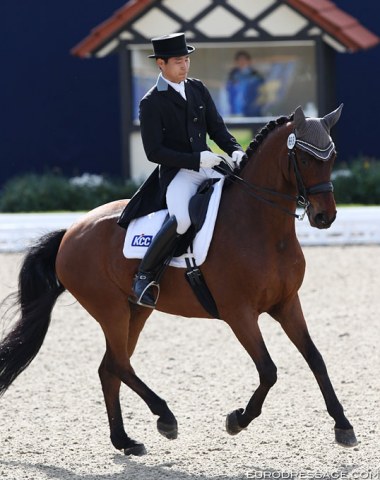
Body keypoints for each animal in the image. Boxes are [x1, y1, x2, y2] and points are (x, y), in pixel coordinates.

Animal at [0, 105, 358, 454]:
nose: (324, 217)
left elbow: (315, 358)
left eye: (332, 158)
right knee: (119, 364)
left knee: (110, 367)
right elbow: (268, 371)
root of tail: (70, 232)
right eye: (306, 159)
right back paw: (165, 417)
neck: (263, 227)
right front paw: (237, 420)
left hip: (136, 310)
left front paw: (343, 425)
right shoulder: (239, 314)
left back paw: (125, 440)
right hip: (110, 310)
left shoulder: (286, 303)